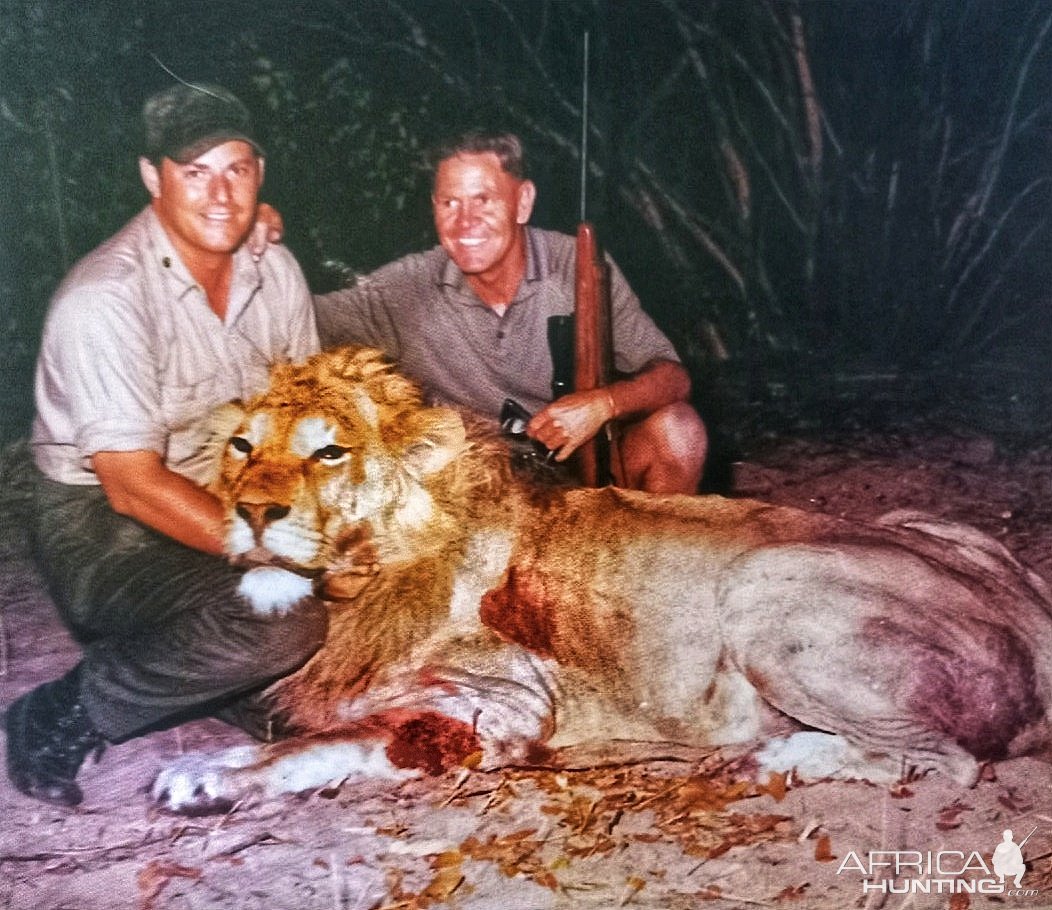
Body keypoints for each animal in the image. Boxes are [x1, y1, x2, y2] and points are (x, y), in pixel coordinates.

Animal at [148, 347, 1052, 816]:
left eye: (330, 451)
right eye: (241, 445)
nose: (252, 512)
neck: (369, 574)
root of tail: (1035, 618)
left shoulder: (501, 708)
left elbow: (322, 742)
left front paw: (206, 776)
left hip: (763, 582)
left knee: (943, 762)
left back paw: (766, 756)